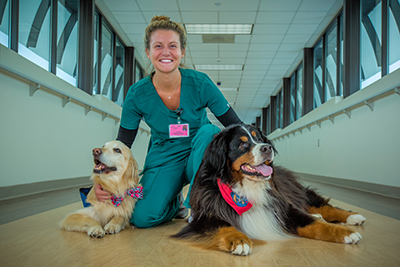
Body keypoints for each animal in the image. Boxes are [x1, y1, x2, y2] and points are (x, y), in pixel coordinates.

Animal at [172, 124, 366, 256]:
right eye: (242, 145)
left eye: (260, 139)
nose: (267, 148)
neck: (245, 187)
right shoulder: (206, 215)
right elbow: (223, 226)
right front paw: (238, 239)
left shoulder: (282, 207)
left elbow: (313, 224)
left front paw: (345, 233)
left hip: (300, 193)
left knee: (324, 207)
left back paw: (353, 217)